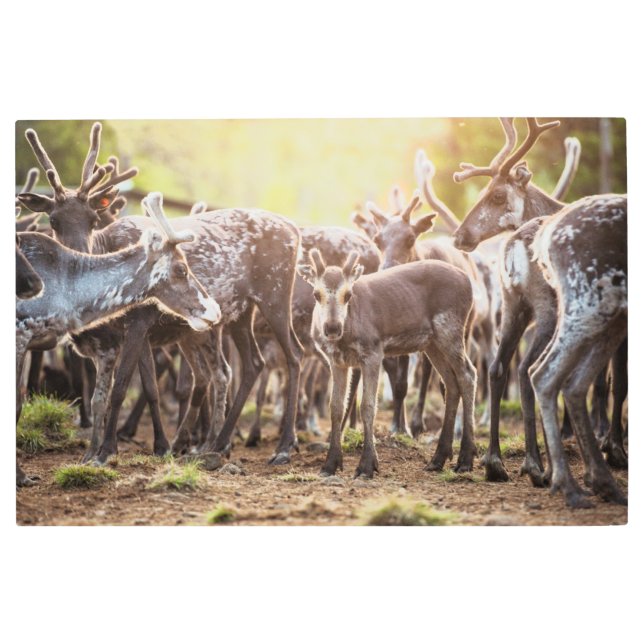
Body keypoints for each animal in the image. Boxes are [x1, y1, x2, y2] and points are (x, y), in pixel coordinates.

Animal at [15, 200, 221, 485]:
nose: (215, 309)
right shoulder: (21, 332)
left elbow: (102, 396)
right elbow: (17, 403)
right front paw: (21, 475)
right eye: (181, 268)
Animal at [298, 250, 477, 477]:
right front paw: (330, 464)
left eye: (348, 294)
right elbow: (336, 407)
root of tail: (468, 282)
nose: (332, 328)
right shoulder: (336, 361)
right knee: (451, 383)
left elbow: (368, 406)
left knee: (468, 375)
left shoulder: (373, 352)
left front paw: (367, 465)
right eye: (316, 294)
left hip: (450, 328)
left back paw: (466, 459)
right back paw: (438, 458)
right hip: (432, 343)